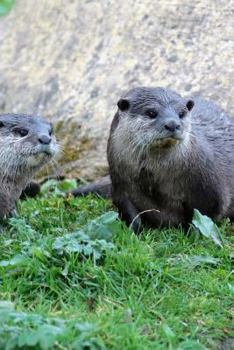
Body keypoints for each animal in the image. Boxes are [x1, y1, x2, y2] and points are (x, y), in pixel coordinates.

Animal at [71, 86, 234, 232]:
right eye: (151, 112)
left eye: (181, 113)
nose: (173, 124)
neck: (153, 181)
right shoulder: (120, 185)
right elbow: (128, 211)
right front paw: (133, 232)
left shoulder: (209, 190)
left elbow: (203, 217)